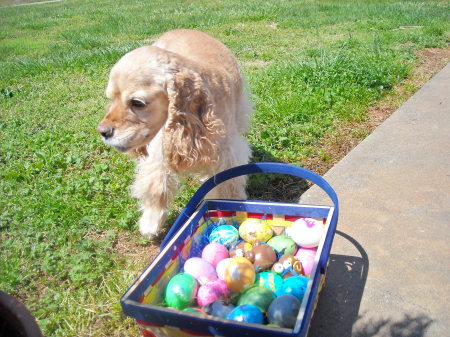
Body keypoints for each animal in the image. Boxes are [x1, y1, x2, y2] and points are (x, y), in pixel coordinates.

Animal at [97, 28, 251, 236]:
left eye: (138, 103)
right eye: (111, 99)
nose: (102, 131)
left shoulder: (227, 153)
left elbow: (227, 186)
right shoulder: (160, 149)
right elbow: (156, 185)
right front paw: (151, 221)